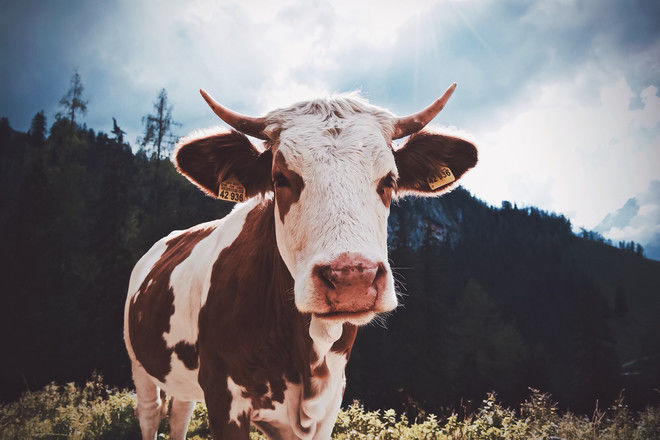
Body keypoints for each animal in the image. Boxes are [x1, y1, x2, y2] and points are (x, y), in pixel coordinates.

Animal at [123, 83, 477, 439]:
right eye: (280, 178)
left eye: (389, 179)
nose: (352, 277)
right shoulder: (224, 398)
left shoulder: (329, 402)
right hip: (139, 364)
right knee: (150, 412)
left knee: (180, 412)